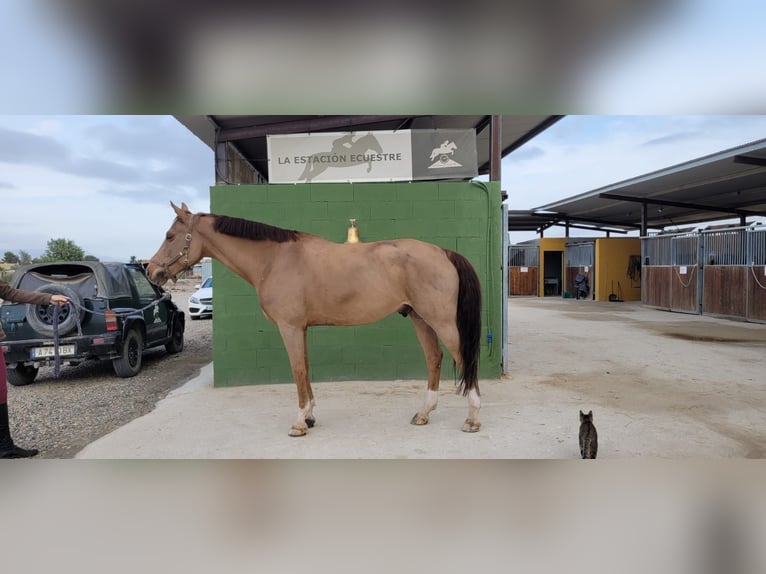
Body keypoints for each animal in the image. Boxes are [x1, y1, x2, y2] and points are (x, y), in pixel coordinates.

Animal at [146, 202, 480, 436]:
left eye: (170, 236)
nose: (151, 271)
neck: (274, 260)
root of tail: (443, 252)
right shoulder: (301, 328)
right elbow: (305, 368)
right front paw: (309, 416)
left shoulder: (290, 328)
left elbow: (297, 370)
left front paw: (298, 423)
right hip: (420, 319)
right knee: (434, 358)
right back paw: (424, 413)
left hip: (441, 322)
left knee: (463, 357)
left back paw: (472, 419)